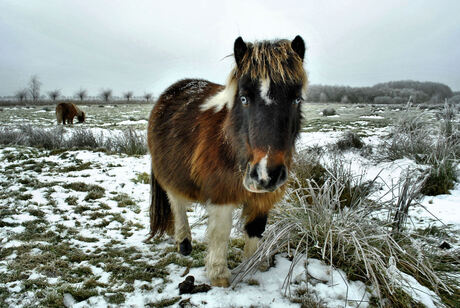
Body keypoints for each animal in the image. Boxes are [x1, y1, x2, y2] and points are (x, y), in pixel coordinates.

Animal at [149, 35, 308, 286]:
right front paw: (219, 275)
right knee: (177, 202)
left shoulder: (262, 198)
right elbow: (221, 232)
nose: (266, 174)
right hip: (171, 173)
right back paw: (184, 242)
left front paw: (254, 265)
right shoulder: (221, 192)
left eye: (296, 99)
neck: (232, 145)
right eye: (243, 98)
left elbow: (255, 229)